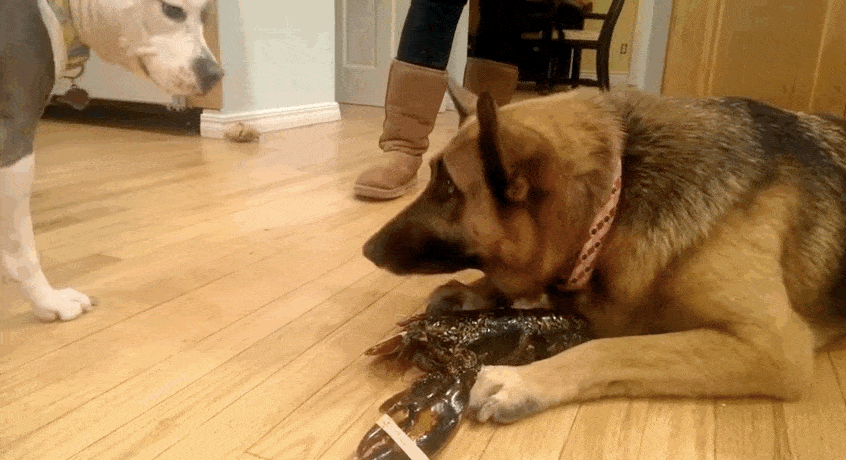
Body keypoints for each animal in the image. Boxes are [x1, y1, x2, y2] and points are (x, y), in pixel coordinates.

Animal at [1, 0, 222, 321]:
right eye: (172, 9)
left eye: (207, 16)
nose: (215, 75)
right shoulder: (12, 138)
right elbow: (22, 250)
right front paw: (48, 302)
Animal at [363, 81, 846, 424]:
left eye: (447, 188)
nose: (367, 250)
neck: (616, 196)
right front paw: (472, 292)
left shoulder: (771, 347)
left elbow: (615, 350)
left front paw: (525, 381)